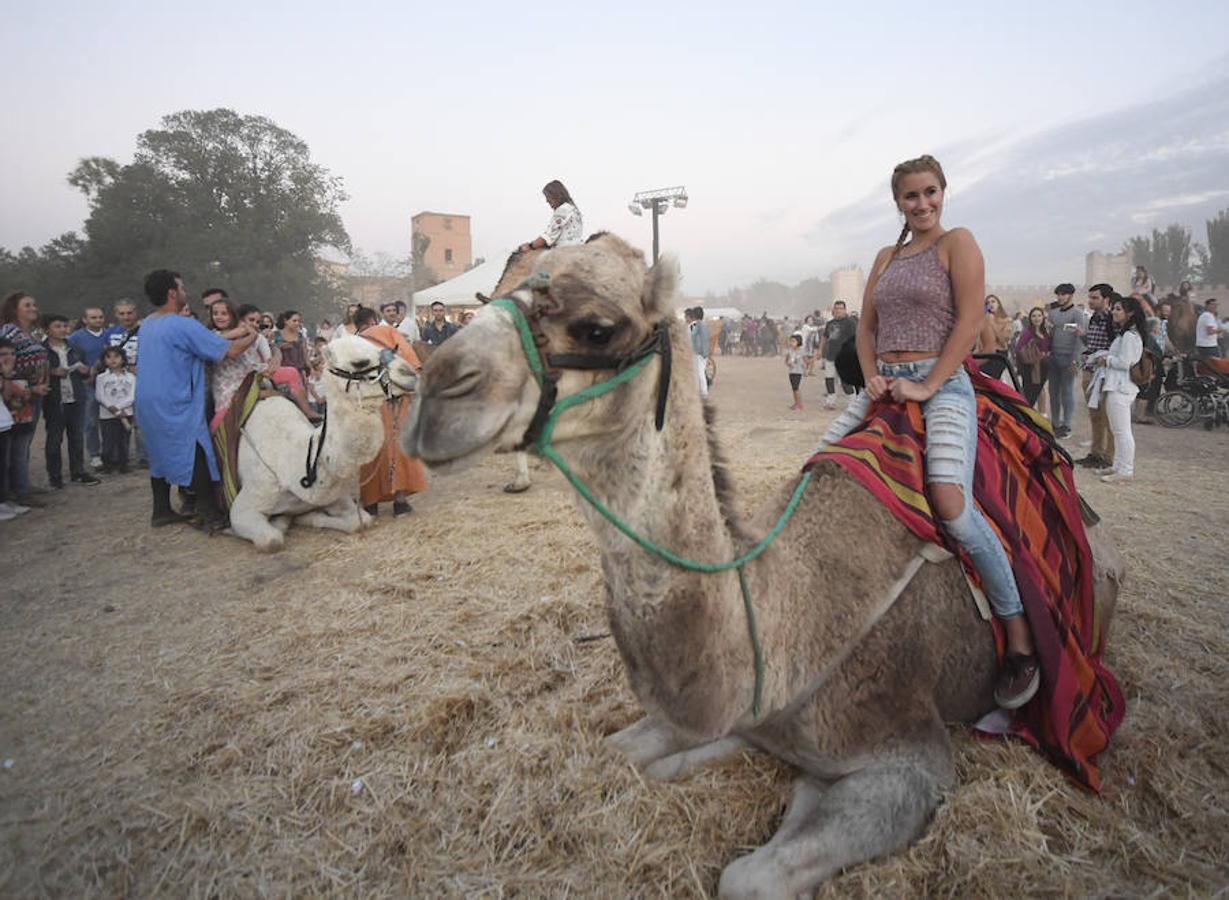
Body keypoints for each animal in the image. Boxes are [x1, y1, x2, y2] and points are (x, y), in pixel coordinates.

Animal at [221, 334, 412, 550]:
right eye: (359, 362)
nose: (409, 373)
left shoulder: (332, 495)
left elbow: (360, 521)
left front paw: (302, 517)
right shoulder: (243, 508)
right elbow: (272, 540)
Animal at [403, 236, 1125, 895]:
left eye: (597, 326)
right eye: (489, 295)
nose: (435, 393)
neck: (787, 625)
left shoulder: (908, 752)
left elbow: (746, 877)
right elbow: (629, 753)